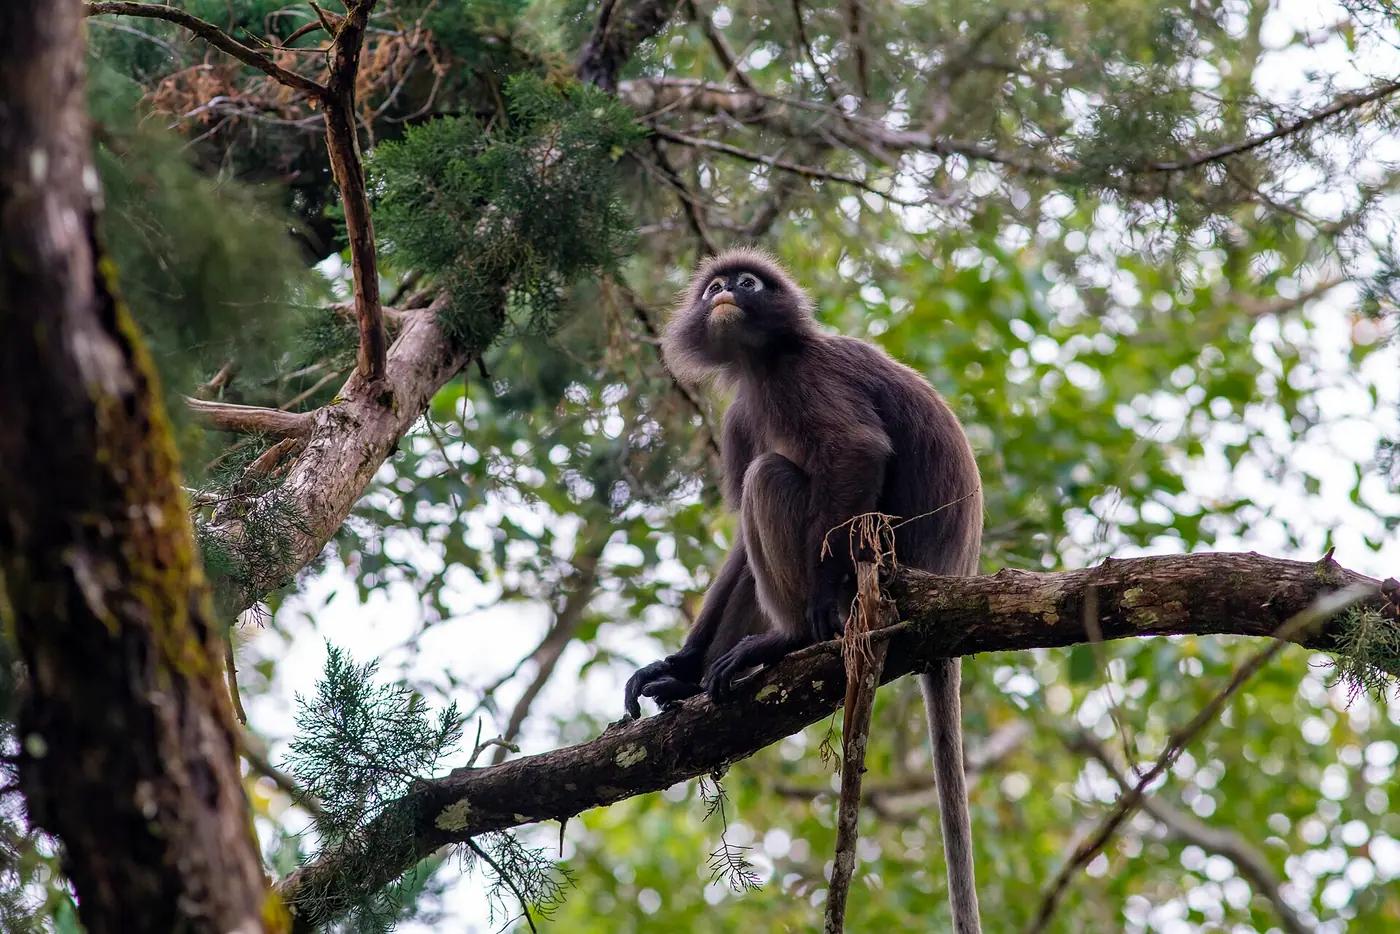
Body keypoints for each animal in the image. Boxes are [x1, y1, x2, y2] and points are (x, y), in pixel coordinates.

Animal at [623, 247, 984, 933]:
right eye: (714, 286)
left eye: (748, 283)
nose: (725, 292)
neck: (762, 363)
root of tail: (949, 578)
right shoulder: (742, 413)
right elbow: (739, 544)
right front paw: (679, 667)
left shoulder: (807, 376)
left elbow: (857, 452)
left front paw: (806, 616)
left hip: (875, 564)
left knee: (771, 477)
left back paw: (788, 639)